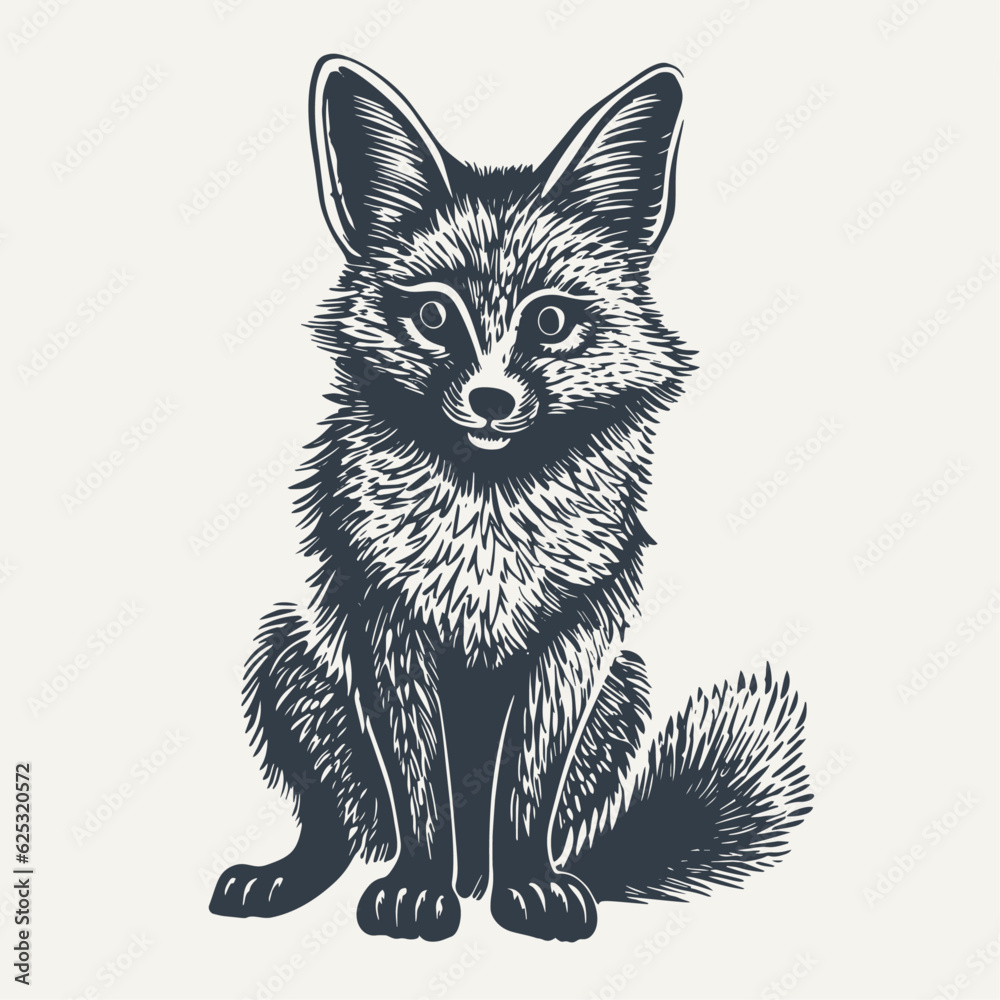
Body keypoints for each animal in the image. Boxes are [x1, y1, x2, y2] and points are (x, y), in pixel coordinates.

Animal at [208, 55, 811, 942]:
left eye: (551, 321)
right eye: (433, 314)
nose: (490, 400)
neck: (489, 528)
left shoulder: (578, 640)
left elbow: (527, 792)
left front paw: (530, 887)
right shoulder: (390, 631)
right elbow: (420, 790)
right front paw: (416, 890)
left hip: (623, 688)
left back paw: (511, 880)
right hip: (286, 658)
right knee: (341, 826)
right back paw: (314, 877)